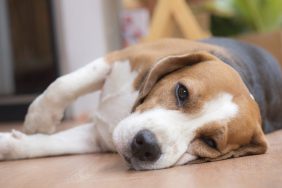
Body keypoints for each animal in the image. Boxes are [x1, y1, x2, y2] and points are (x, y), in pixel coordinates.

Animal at [0, 38, 282, 170]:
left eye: (210, 143)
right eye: (182, 92)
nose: (146, 145)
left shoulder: (98, 139)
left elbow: (50, 144)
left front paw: (11, 144)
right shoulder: (122, 57)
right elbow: (64, 84)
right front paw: (40, 118)